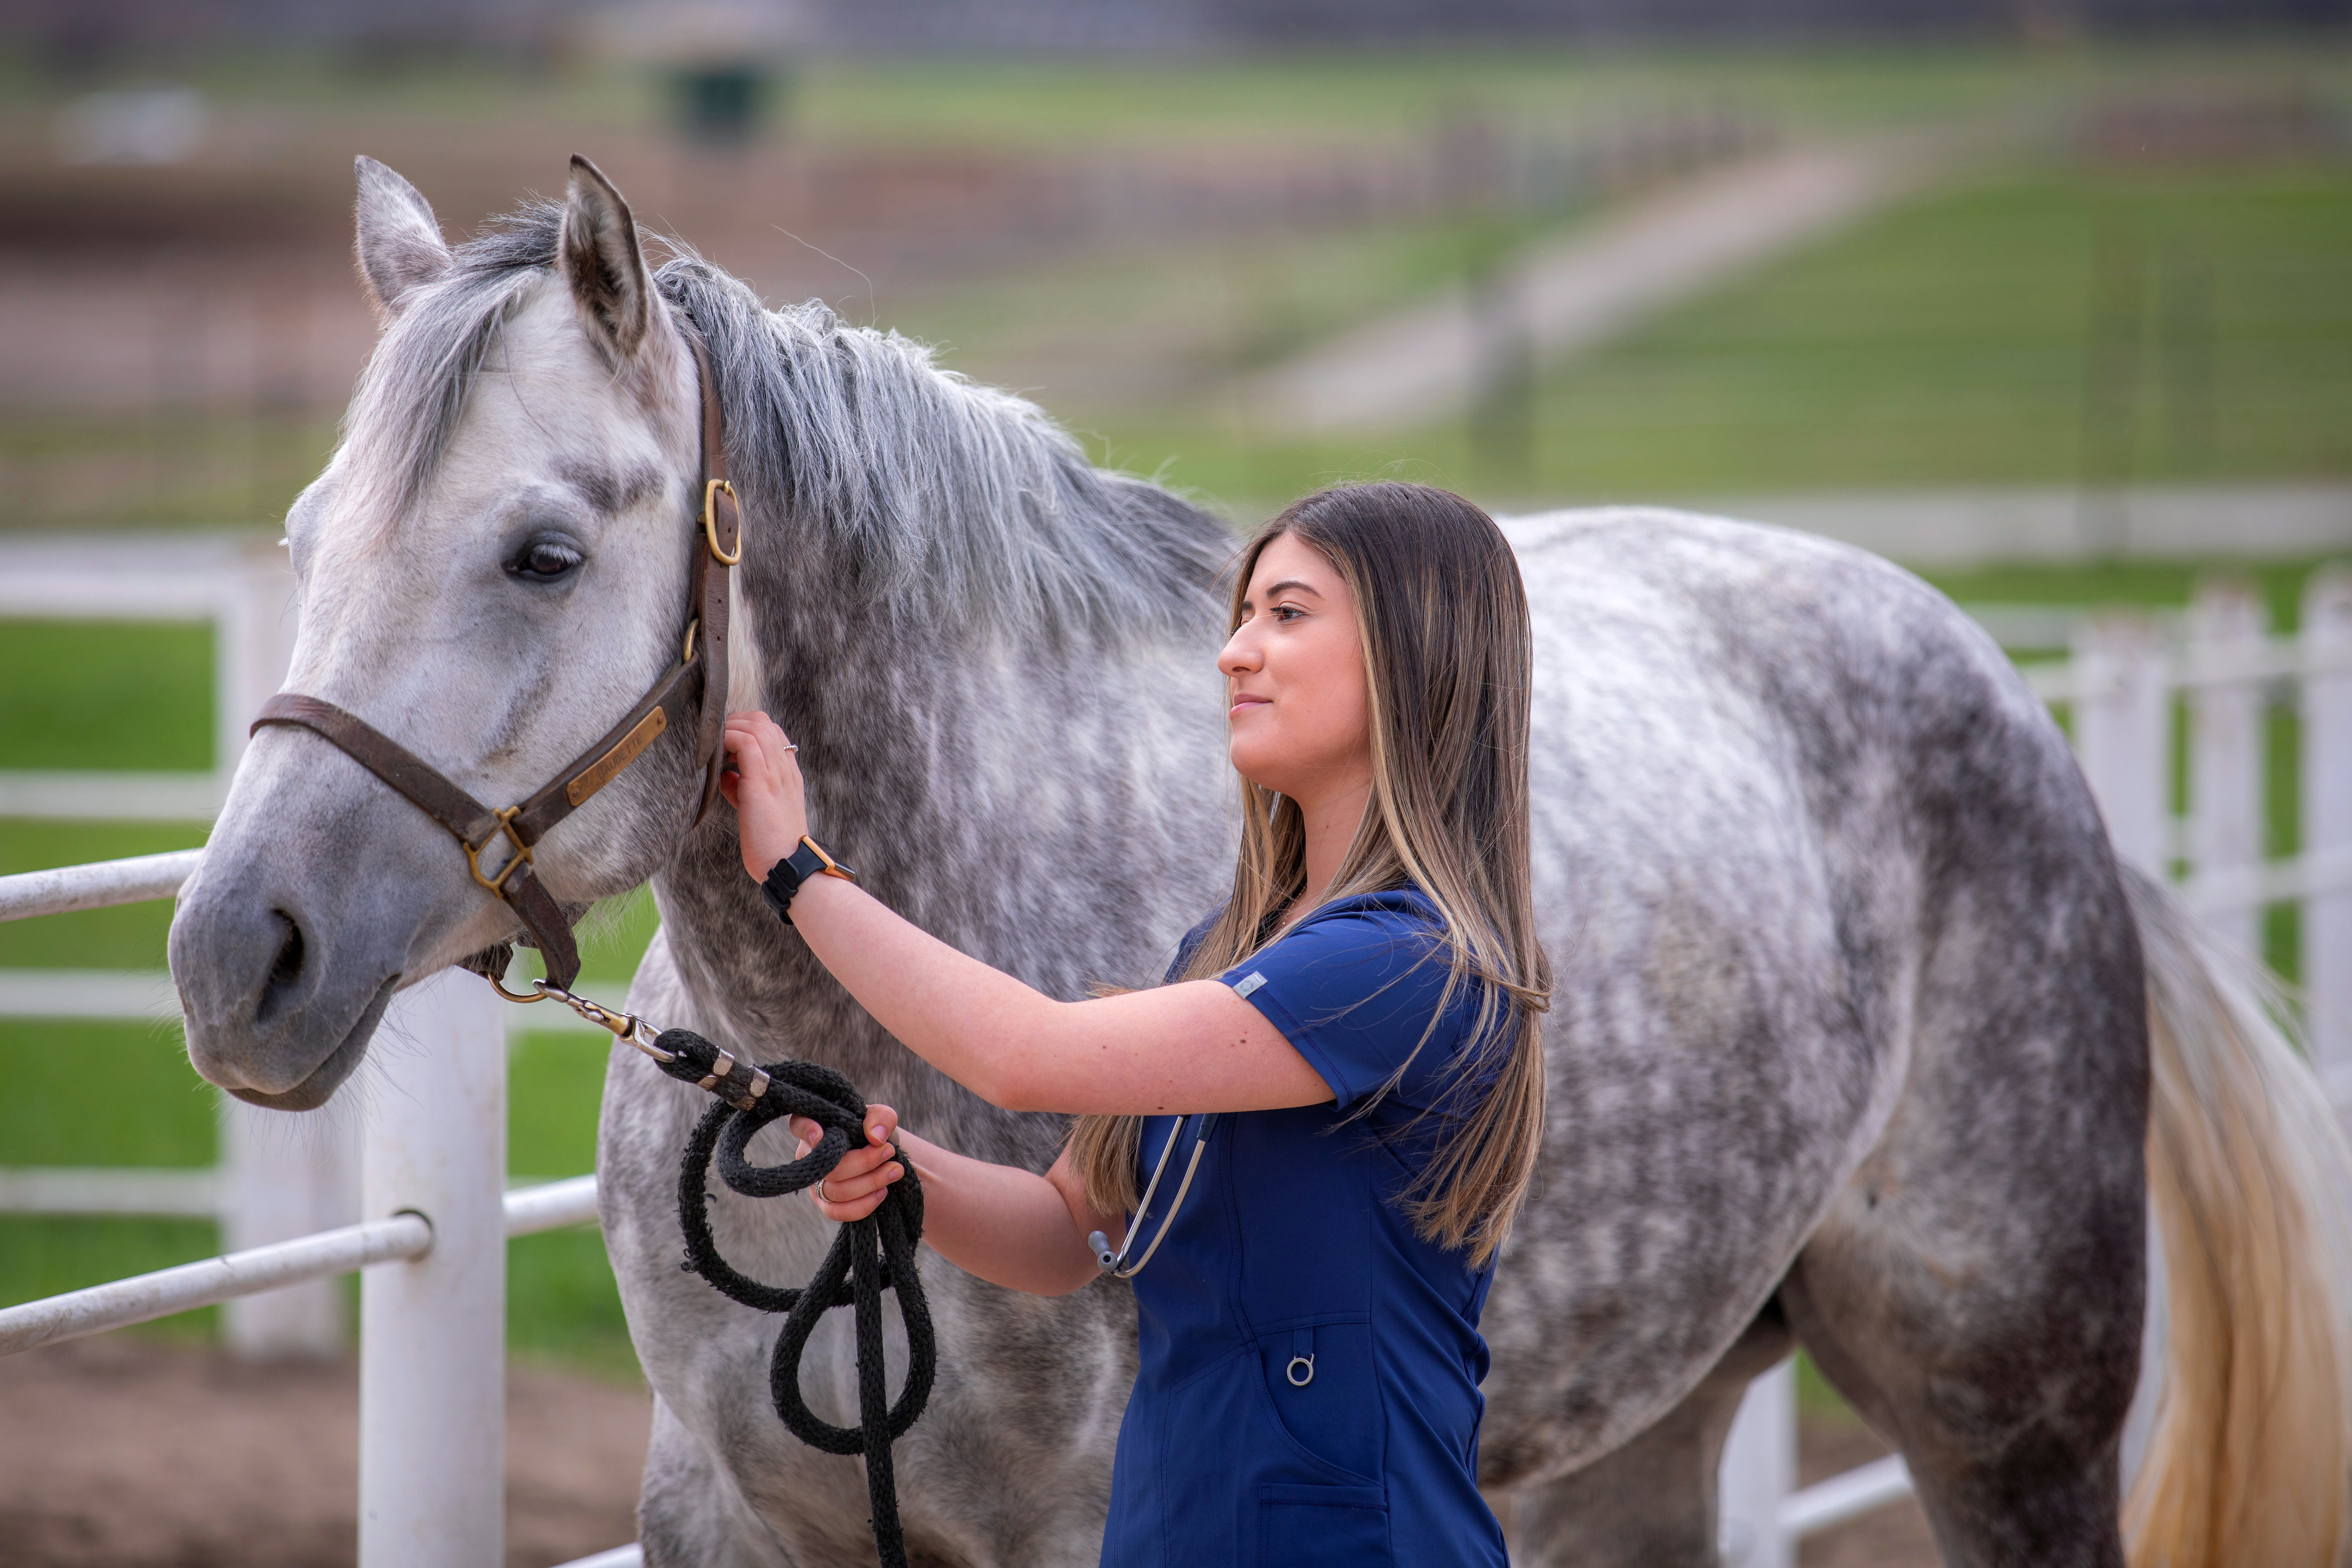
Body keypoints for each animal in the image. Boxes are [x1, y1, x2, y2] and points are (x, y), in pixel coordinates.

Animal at [171, 150, 2352, 1568]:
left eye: (543, 550)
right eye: (300, 534)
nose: (231, 956)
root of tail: (1998, 694)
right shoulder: (735, 1521)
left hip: (2016, 1412)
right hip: (1644, 1433)